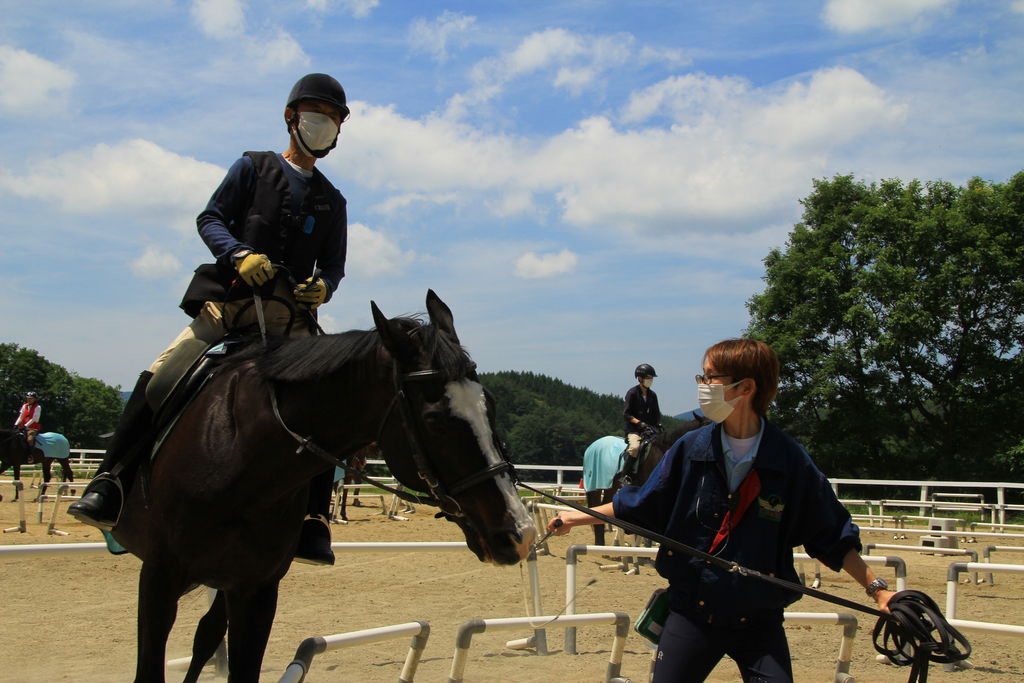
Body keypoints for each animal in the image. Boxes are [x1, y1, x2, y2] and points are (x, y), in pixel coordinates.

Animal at [105, 290, 536, 679]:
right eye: (436, 422)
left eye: (490, 405)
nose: (520, 534)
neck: (238, 459)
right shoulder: (159, 577)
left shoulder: (256, 589)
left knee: (206, 637)